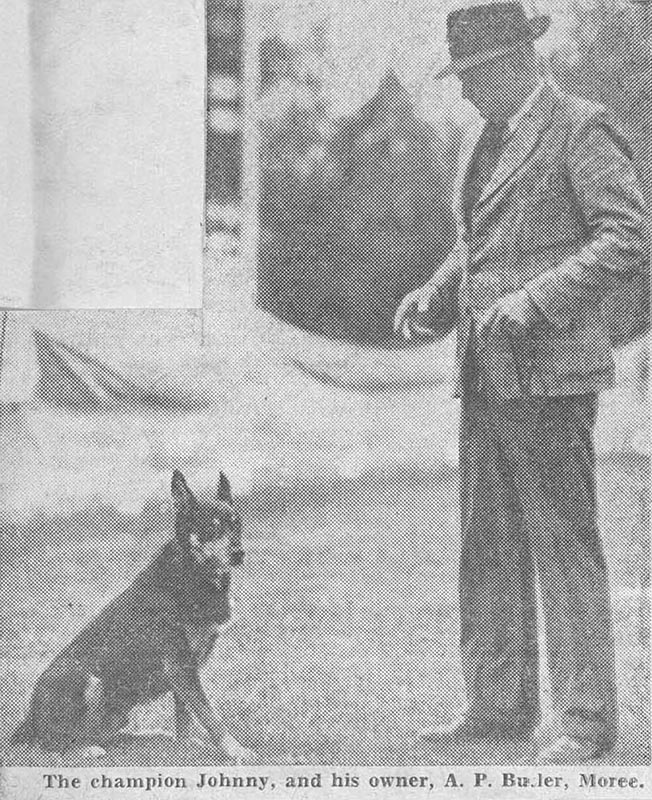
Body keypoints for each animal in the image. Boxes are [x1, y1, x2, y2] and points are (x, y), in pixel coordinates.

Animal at [10, 472, 255, 764]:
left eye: (237, 524)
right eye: (212, 527)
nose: (239, 553)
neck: (191, 573)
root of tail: (29, 719)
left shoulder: (187, 666)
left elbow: (186, 714)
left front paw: (186, 746)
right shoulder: (180, 665)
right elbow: (209, 715)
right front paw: (236, 751)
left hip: (119, 709)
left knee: (106, 736)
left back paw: (152, 736)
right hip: (87, 679)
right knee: (52, 745)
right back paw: (84, 750)